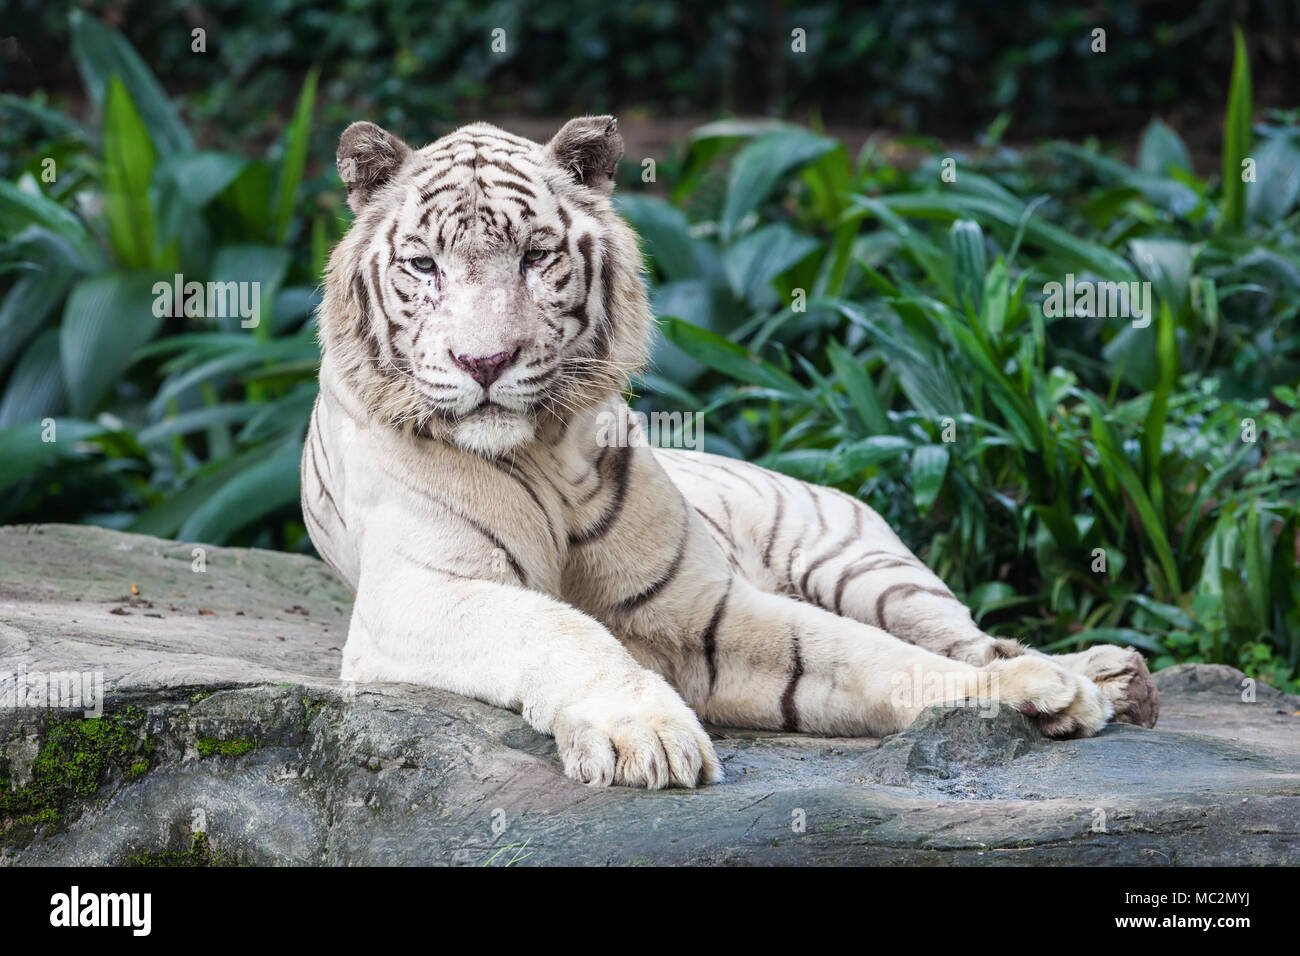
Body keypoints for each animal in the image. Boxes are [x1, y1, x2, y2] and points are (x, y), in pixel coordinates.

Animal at [302, 115, 1160, 790]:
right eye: (424, 265)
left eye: (536, 257)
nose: (484, 363)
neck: (544, 451)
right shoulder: (420, 594)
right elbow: (559, 631)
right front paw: (645, 735)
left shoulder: (698, 604)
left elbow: (857, 654)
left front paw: (1036, 689)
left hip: (871, 569)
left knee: (965, 632)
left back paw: (1108, 674)